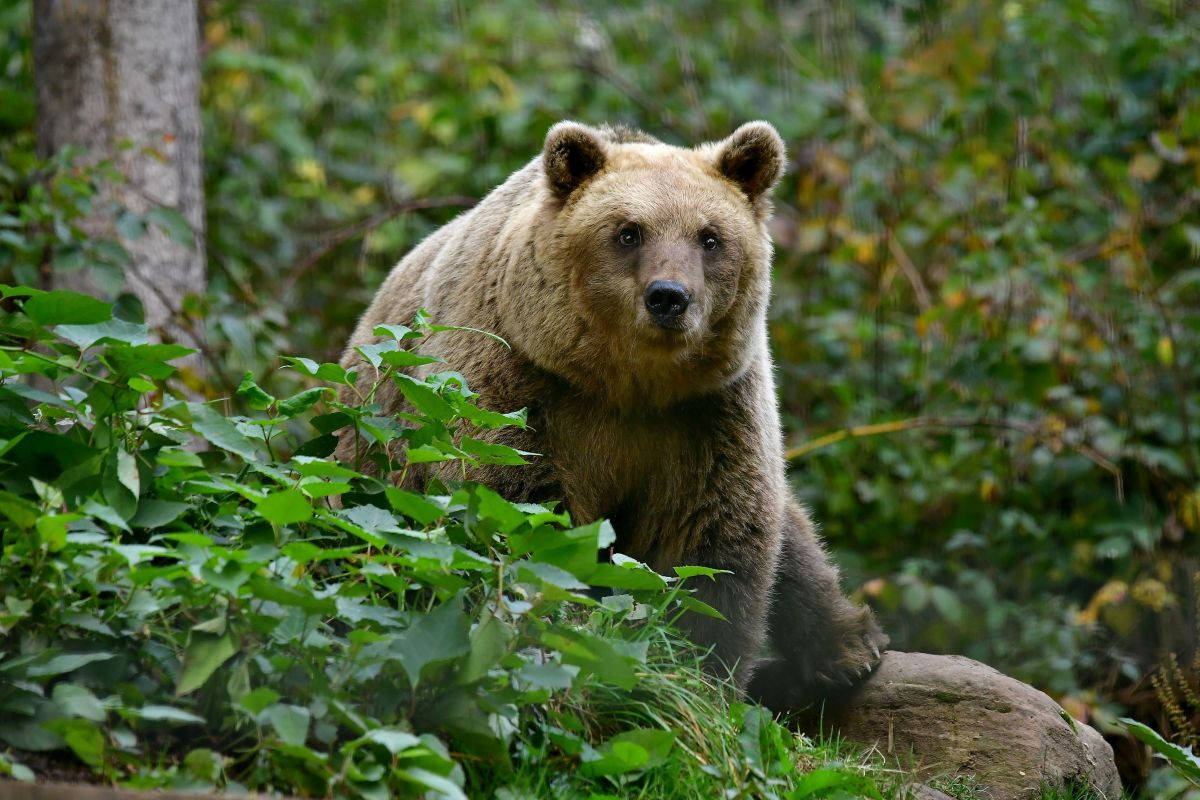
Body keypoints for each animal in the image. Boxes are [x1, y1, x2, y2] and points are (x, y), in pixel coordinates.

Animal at [336, 122, 883, 710]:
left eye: (710, 237)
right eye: (628, 232)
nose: (669, 297)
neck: (624, 385)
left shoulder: (708, 414)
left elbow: (713, 544)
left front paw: (692, 675)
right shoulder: (518, 382)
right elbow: (524, 517)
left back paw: (847, 648)